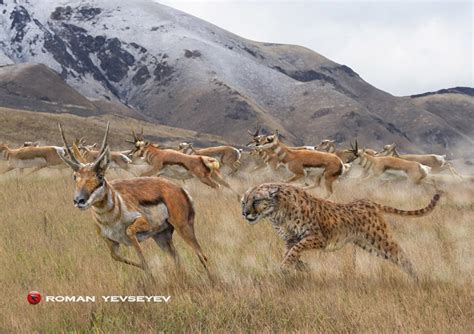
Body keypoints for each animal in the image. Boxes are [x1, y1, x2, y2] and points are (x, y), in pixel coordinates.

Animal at [241, 181, 440, 278]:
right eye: (244, 202)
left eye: (256, 201)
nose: (245, 213)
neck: (277, 212)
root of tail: (367, 201)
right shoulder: (290, 239)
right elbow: (290, 251)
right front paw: (300, 266)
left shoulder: (318, 238)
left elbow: (295, 250)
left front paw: (286, 267)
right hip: (369, 244)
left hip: (380, 239)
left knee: (402, 256)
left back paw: (417, 278)